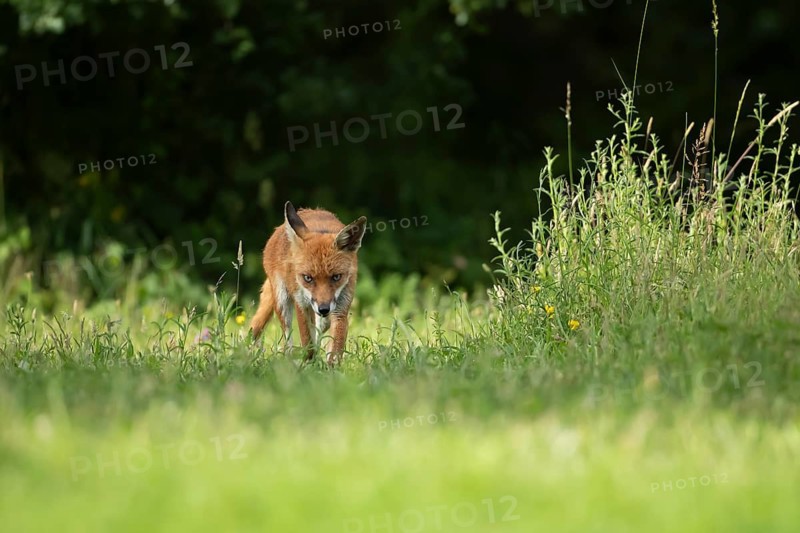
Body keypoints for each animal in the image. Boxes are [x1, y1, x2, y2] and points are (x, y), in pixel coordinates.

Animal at [250, 201, 367, 365]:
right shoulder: (302, 304)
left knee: (319, 331)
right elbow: (307, 342)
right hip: (282, 300)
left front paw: (331, 368)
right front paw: (308, 365)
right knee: (288, 339)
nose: (323, 309)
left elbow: (335, 348)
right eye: (308, 278)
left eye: (336, 277)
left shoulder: (340, 308)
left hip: (324, 317)